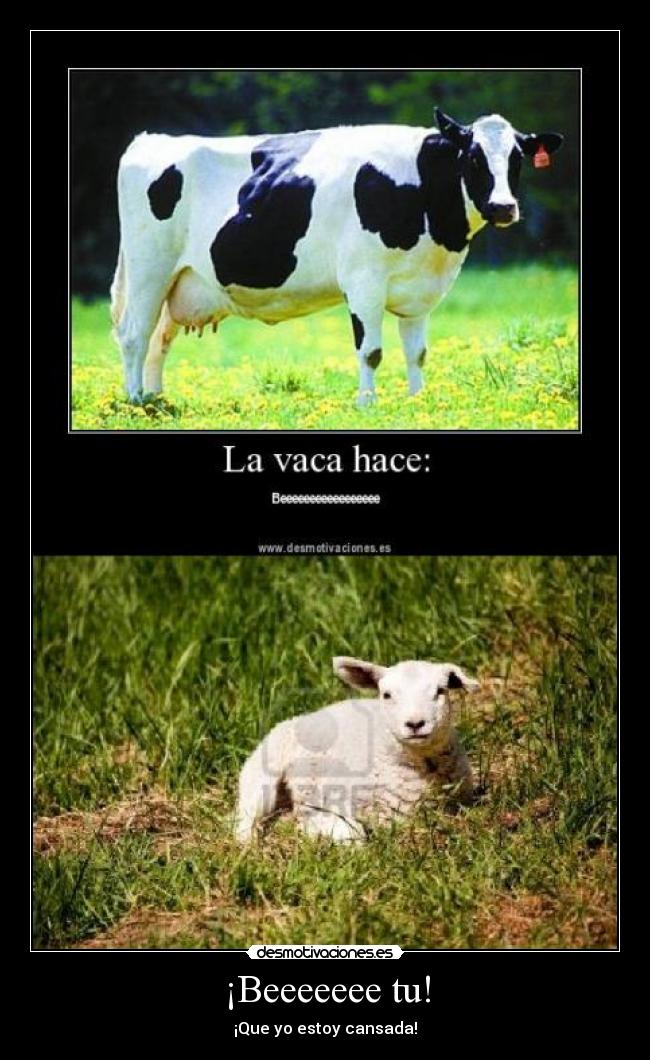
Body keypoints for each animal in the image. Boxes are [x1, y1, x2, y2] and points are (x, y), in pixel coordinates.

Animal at [110, 109, 562, 406]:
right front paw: (367, 405)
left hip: (179, 281)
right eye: (473, 157)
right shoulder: (364, 280)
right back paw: (134, 401)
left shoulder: (419, 290)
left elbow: (417, 352)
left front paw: (418, 401)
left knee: (159, 338)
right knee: (134, 334)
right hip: (149, 268)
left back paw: (156, 400)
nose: (503, 207)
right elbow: (371, 351)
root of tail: (151, 139)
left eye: (517, 159)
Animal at [234, 656, 480, 843]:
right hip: (262, 773)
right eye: (386, 695)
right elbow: (354, 834)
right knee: (245, 819)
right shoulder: (326, 801)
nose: (415, 724)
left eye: (441, 691)